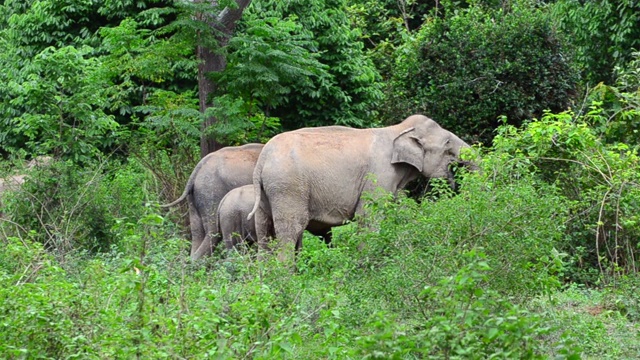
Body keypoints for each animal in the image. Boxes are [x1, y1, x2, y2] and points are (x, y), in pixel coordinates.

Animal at [248, 114, 472, 262]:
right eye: (448, 144)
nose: (455, 181)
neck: (398, 129)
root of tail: (262, 159)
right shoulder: (381, 173)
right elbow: (368, 216)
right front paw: (367, 263)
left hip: (269, 194)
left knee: (264, 233)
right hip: (288, 188)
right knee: (291, 230)